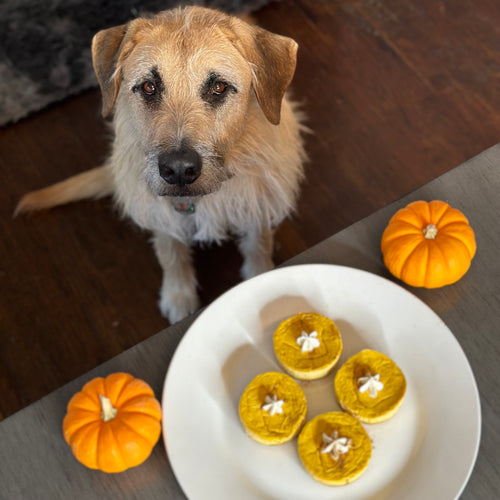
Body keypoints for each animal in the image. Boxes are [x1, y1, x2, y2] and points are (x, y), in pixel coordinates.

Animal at [16, 6, 304, 324]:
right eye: (149, 87)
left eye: (218, 87)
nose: (178, 170)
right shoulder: (158, 213)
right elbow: (170, 253)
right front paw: (178, 296)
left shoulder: (258, 202)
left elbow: (258, 244)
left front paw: (261, 276)